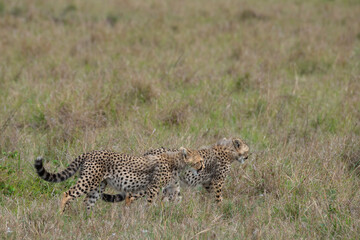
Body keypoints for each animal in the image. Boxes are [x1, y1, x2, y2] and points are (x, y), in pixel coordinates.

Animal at [34, 147, 204, 213]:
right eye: (199, 161)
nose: (203, 167)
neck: (177, 162)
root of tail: (91, 152)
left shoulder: (171, 188)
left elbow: (177, 201)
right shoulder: (153, 187)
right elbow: (150, 203)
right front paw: (149, 215)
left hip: (98, 186)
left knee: (87, 202)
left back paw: (89, 220)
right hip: (89, 181)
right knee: (67, 194)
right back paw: (61, 214)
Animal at [102, 138, 250, 203]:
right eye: (247, 150)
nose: (248, 156)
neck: (229, 151)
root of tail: (148, 153)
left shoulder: (208, 182)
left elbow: (212, 194)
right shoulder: (217, 181)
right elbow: (218, 196)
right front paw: (220, 207)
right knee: (130, 196)